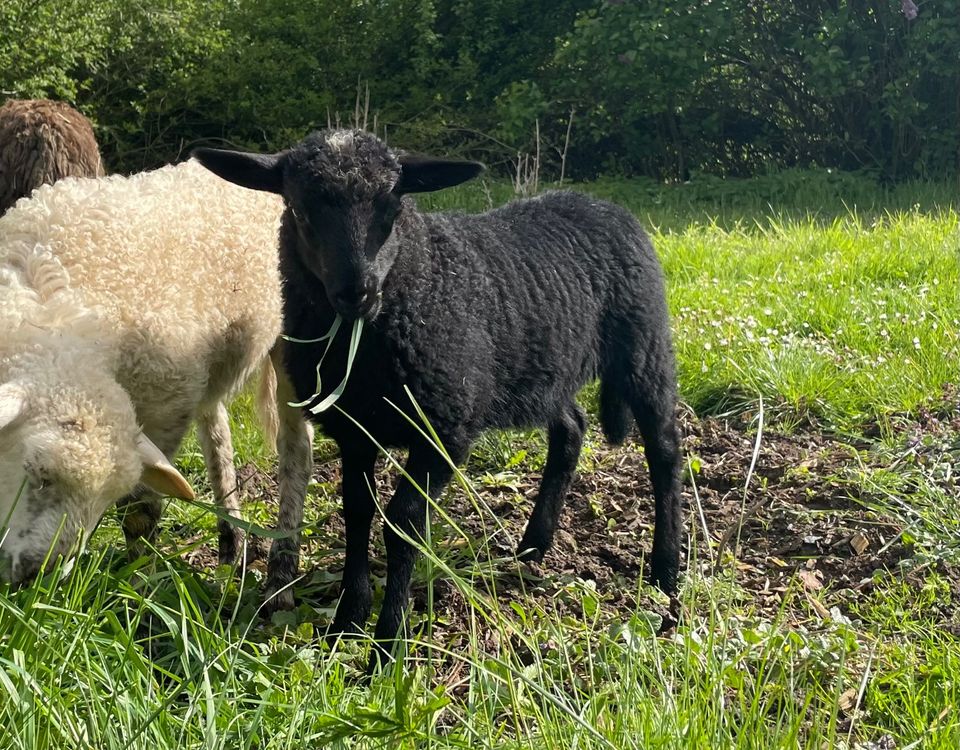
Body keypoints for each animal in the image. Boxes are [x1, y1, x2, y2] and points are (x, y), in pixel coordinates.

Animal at [0, 159, 312, 580]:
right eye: (37, 472)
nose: (38, 575)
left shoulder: (165, 408)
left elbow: (140, 513)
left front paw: (136, 581)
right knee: (218, 435)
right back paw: (231, 544)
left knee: (296, 446)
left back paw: (282, 567)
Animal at [193, 131, 684, 668]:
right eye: (300, 209)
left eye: (392, 205)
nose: (357, 292)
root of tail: (598, 203)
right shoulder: (355, 431)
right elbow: (357, 511)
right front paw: (347, 621)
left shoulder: (444, 428)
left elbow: (403, 521)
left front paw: (388, 645)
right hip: (544, 370)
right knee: (571, 429)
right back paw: (533, 547)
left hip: (643, 348)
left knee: (664, 451)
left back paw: (666, 571)